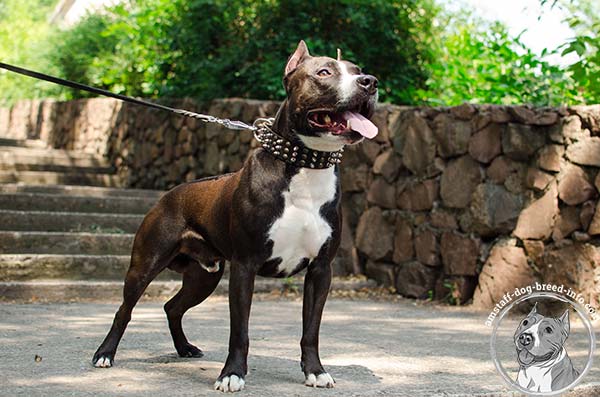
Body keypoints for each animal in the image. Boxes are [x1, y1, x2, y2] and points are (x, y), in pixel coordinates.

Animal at [91, 39, 378, 390]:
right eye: (324, 72)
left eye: (358, 70)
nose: (370, 82)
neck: (305, 165)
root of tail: (170, 193)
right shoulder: (245, 267)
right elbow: (239, 330)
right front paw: (232, 374)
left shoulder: (320, 271)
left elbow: (311, 329)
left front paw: (315, 370)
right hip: (145, 266)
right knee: (125, 310)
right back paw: (105, 353)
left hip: (205, 275)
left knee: (173, 307)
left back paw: (184, 348)